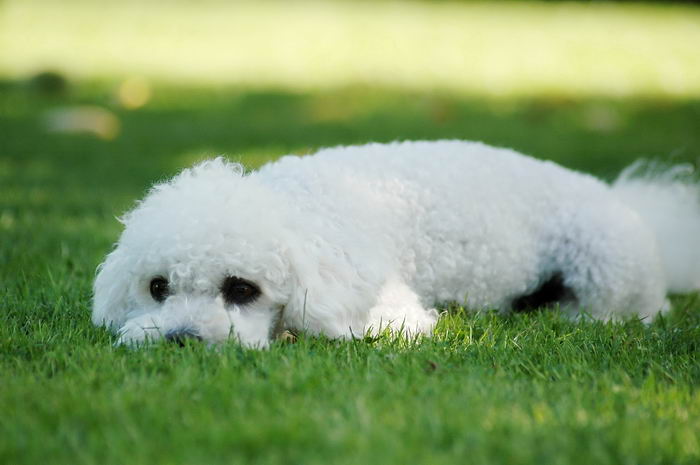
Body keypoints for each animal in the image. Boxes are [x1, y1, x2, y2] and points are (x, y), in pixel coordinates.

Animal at [94, 140, 700, 346]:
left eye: (241, 289)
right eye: (157, 288)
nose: (179, 340)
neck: (303, 212)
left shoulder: (386, 307)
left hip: (606, 261)